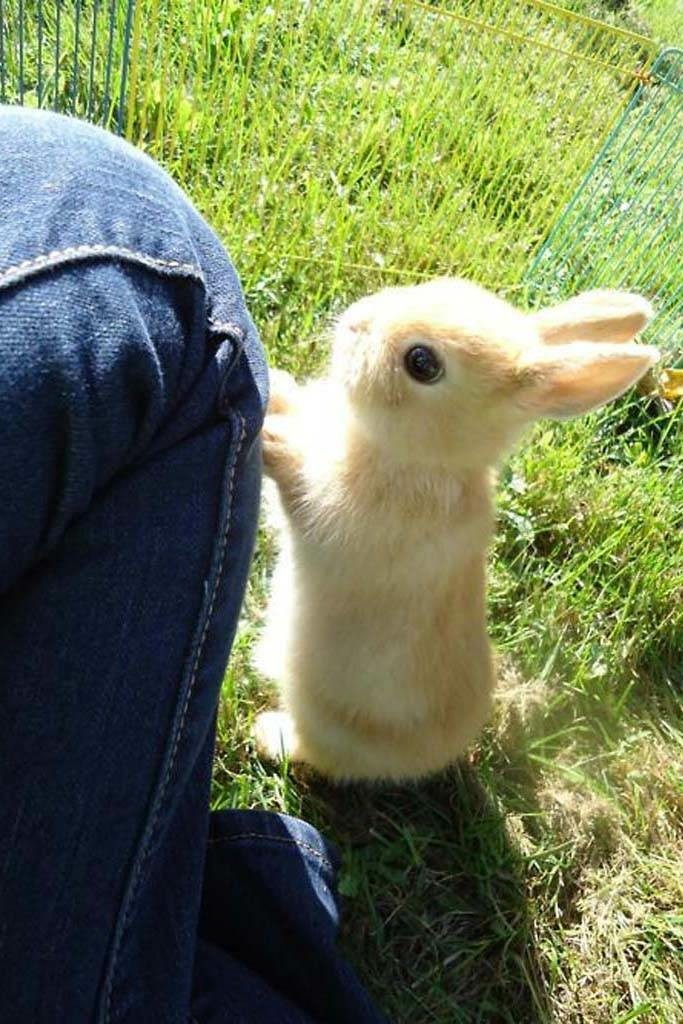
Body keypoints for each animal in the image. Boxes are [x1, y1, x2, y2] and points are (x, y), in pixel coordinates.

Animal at [253, 277, 657, 781]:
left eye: (421, 363)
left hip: (322, 716)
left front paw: (272, 438)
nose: (354, 321)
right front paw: (278, 385)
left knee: (315, 750)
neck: (424, 458)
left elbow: (296, 481)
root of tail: (440, 753)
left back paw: (268, 735)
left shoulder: (330, 509)